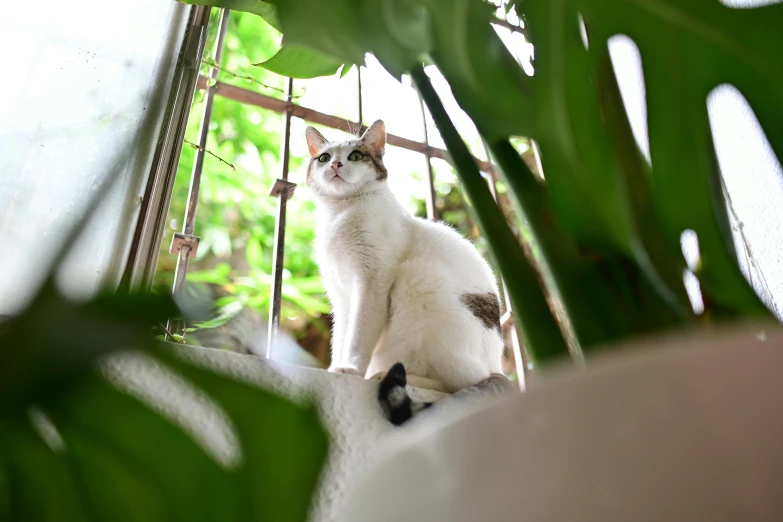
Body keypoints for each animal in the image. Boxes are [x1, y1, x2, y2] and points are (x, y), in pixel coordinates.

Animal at [306, 120, 508, 420]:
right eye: (323, 158)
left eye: (355, 156)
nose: (335, 165)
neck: (340, 215)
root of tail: (498, 366)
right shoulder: (341, 296)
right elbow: (341, 337)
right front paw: (335, 368)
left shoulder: (372, 283)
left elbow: (358, 335)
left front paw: (350, 370)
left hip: (419, 283)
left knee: (459, 382)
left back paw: (383, 375)